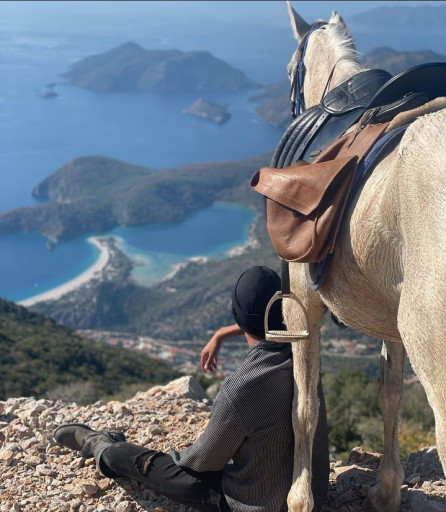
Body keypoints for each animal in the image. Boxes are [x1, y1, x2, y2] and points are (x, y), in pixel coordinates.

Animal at [282, 4, 446, 512]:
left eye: (289, 71)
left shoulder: (301, 302)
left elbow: (304, 406)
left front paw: (299, 498)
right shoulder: (393, 320)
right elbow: (389, 393)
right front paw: (387, 489)